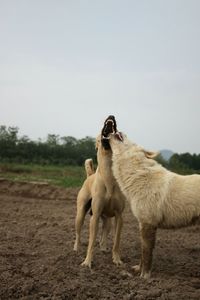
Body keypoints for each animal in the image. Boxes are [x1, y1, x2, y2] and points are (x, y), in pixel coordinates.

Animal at [74, 116, 126, 268]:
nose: (111, 116)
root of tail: (89, 175)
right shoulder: (95, 216)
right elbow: (91, 242)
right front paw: (87, 262)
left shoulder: (119, 217)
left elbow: (116, 241)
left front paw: (117, 259)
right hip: (80, 214)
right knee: (78, 233)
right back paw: (76, 249)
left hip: (107, 219)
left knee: (104, 232)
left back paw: (103, 248)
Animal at [108, 131, 200, 278]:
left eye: (131, 140)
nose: (120, 131)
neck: (138, 175)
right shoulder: (142, 223)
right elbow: (142, 251)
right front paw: (138, 270)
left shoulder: (148, 223)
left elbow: (147, 253)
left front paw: (144, 276)